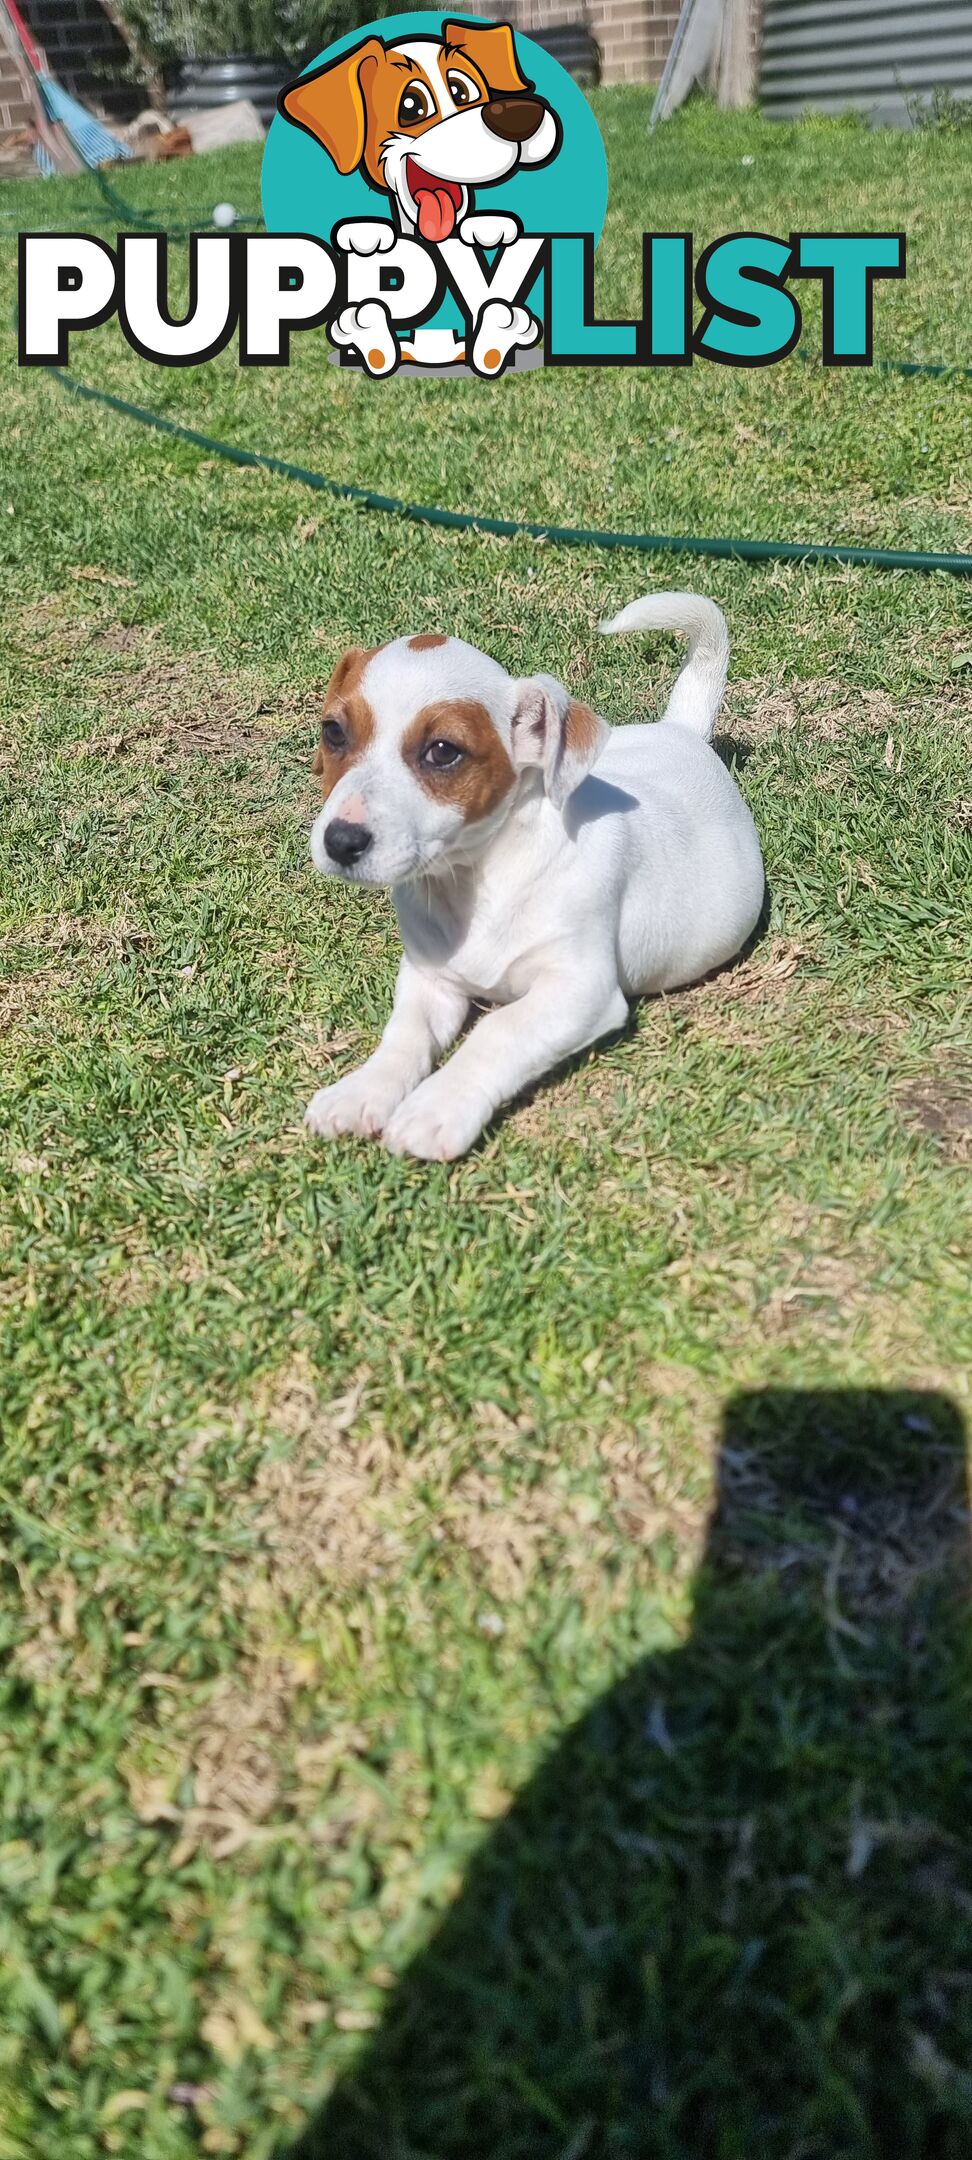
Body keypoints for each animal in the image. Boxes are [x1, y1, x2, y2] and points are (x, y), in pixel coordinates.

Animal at [306, 591, 764, 1166]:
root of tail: (681, 731)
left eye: (442, 751)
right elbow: (404, 1036)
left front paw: (436, 1108)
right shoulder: (429, 980)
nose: (341, 841)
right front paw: (363, 1091)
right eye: (333, 732)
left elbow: (498, 1032)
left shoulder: (579, 990)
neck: (478, 878)